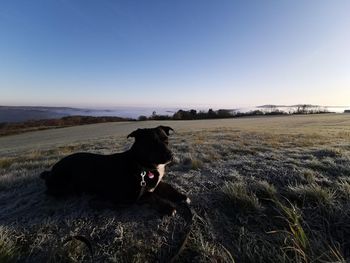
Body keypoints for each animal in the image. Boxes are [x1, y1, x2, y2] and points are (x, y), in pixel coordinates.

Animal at [40, 127, 189, 216]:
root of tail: (51, 171)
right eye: (151, 143)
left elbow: (167, 187)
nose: (171, 155)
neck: (142, 165)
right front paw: (168, 207)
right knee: (50, 192)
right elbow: (152, 197)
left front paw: (182, 196)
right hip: (64, 186)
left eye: (166, 141)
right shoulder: (132, 196)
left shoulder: (155, 184)